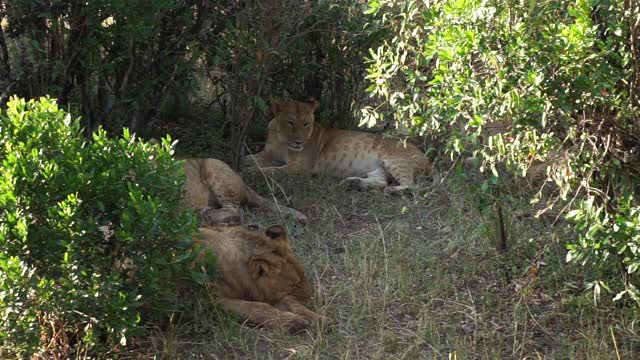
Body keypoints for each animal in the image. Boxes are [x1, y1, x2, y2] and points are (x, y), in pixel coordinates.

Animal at [192, 224, 328, 334]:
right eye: (294, 285)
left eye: (303, 277)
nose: (315, 298)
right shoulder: (212, 300)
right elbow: (256, 307)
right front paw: (294, 322)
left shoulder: (273, 296)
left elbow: (292, 303)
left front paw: (318, 318)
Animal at [248, 98, 432, 194]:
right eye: (290, 122)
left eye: (306, 123)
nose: (300, 142)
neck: (282, 140)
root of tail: (426, 158)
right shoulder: (268, 153)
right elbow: (249, 158)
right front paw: (246, 165)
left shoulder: (300, 167)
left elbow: (272, 171)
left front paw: (254, 172)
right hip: (379, 169)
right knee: (380, 182)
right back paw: (354, 183)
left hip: (395, 160)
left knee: (411, 185)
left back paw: (393, 191)